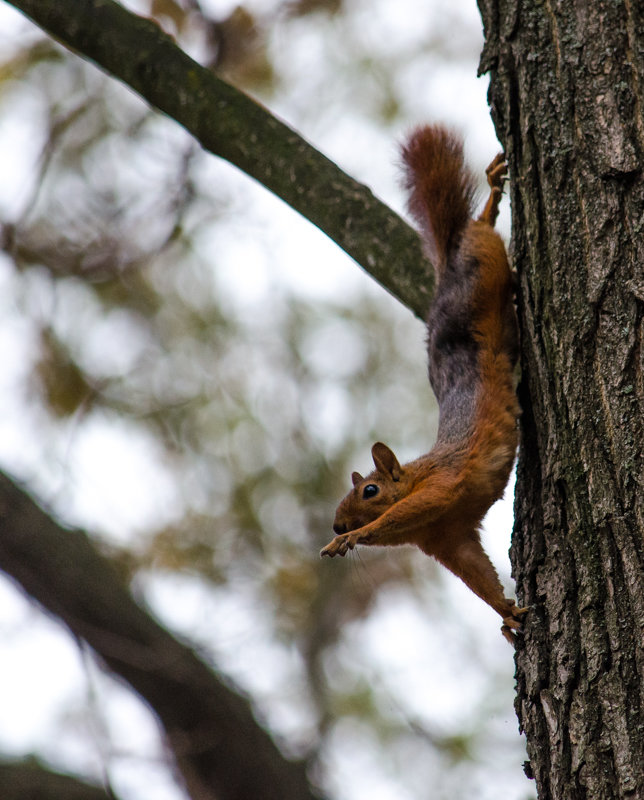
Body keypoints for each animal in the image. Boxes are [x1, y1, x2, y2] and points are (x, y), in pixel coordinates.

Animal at [322, 123, 528, 644]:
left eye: (370, 491)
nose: (336, 525)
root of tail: (447, 266)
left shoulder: (442, 487)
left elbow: (404, 511)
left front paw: (355, 537)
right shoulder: (449, 538)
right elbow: (477, 575)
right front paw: (508, 613)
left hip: (487, 271)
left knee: (479, 231)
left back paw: (489, 200)